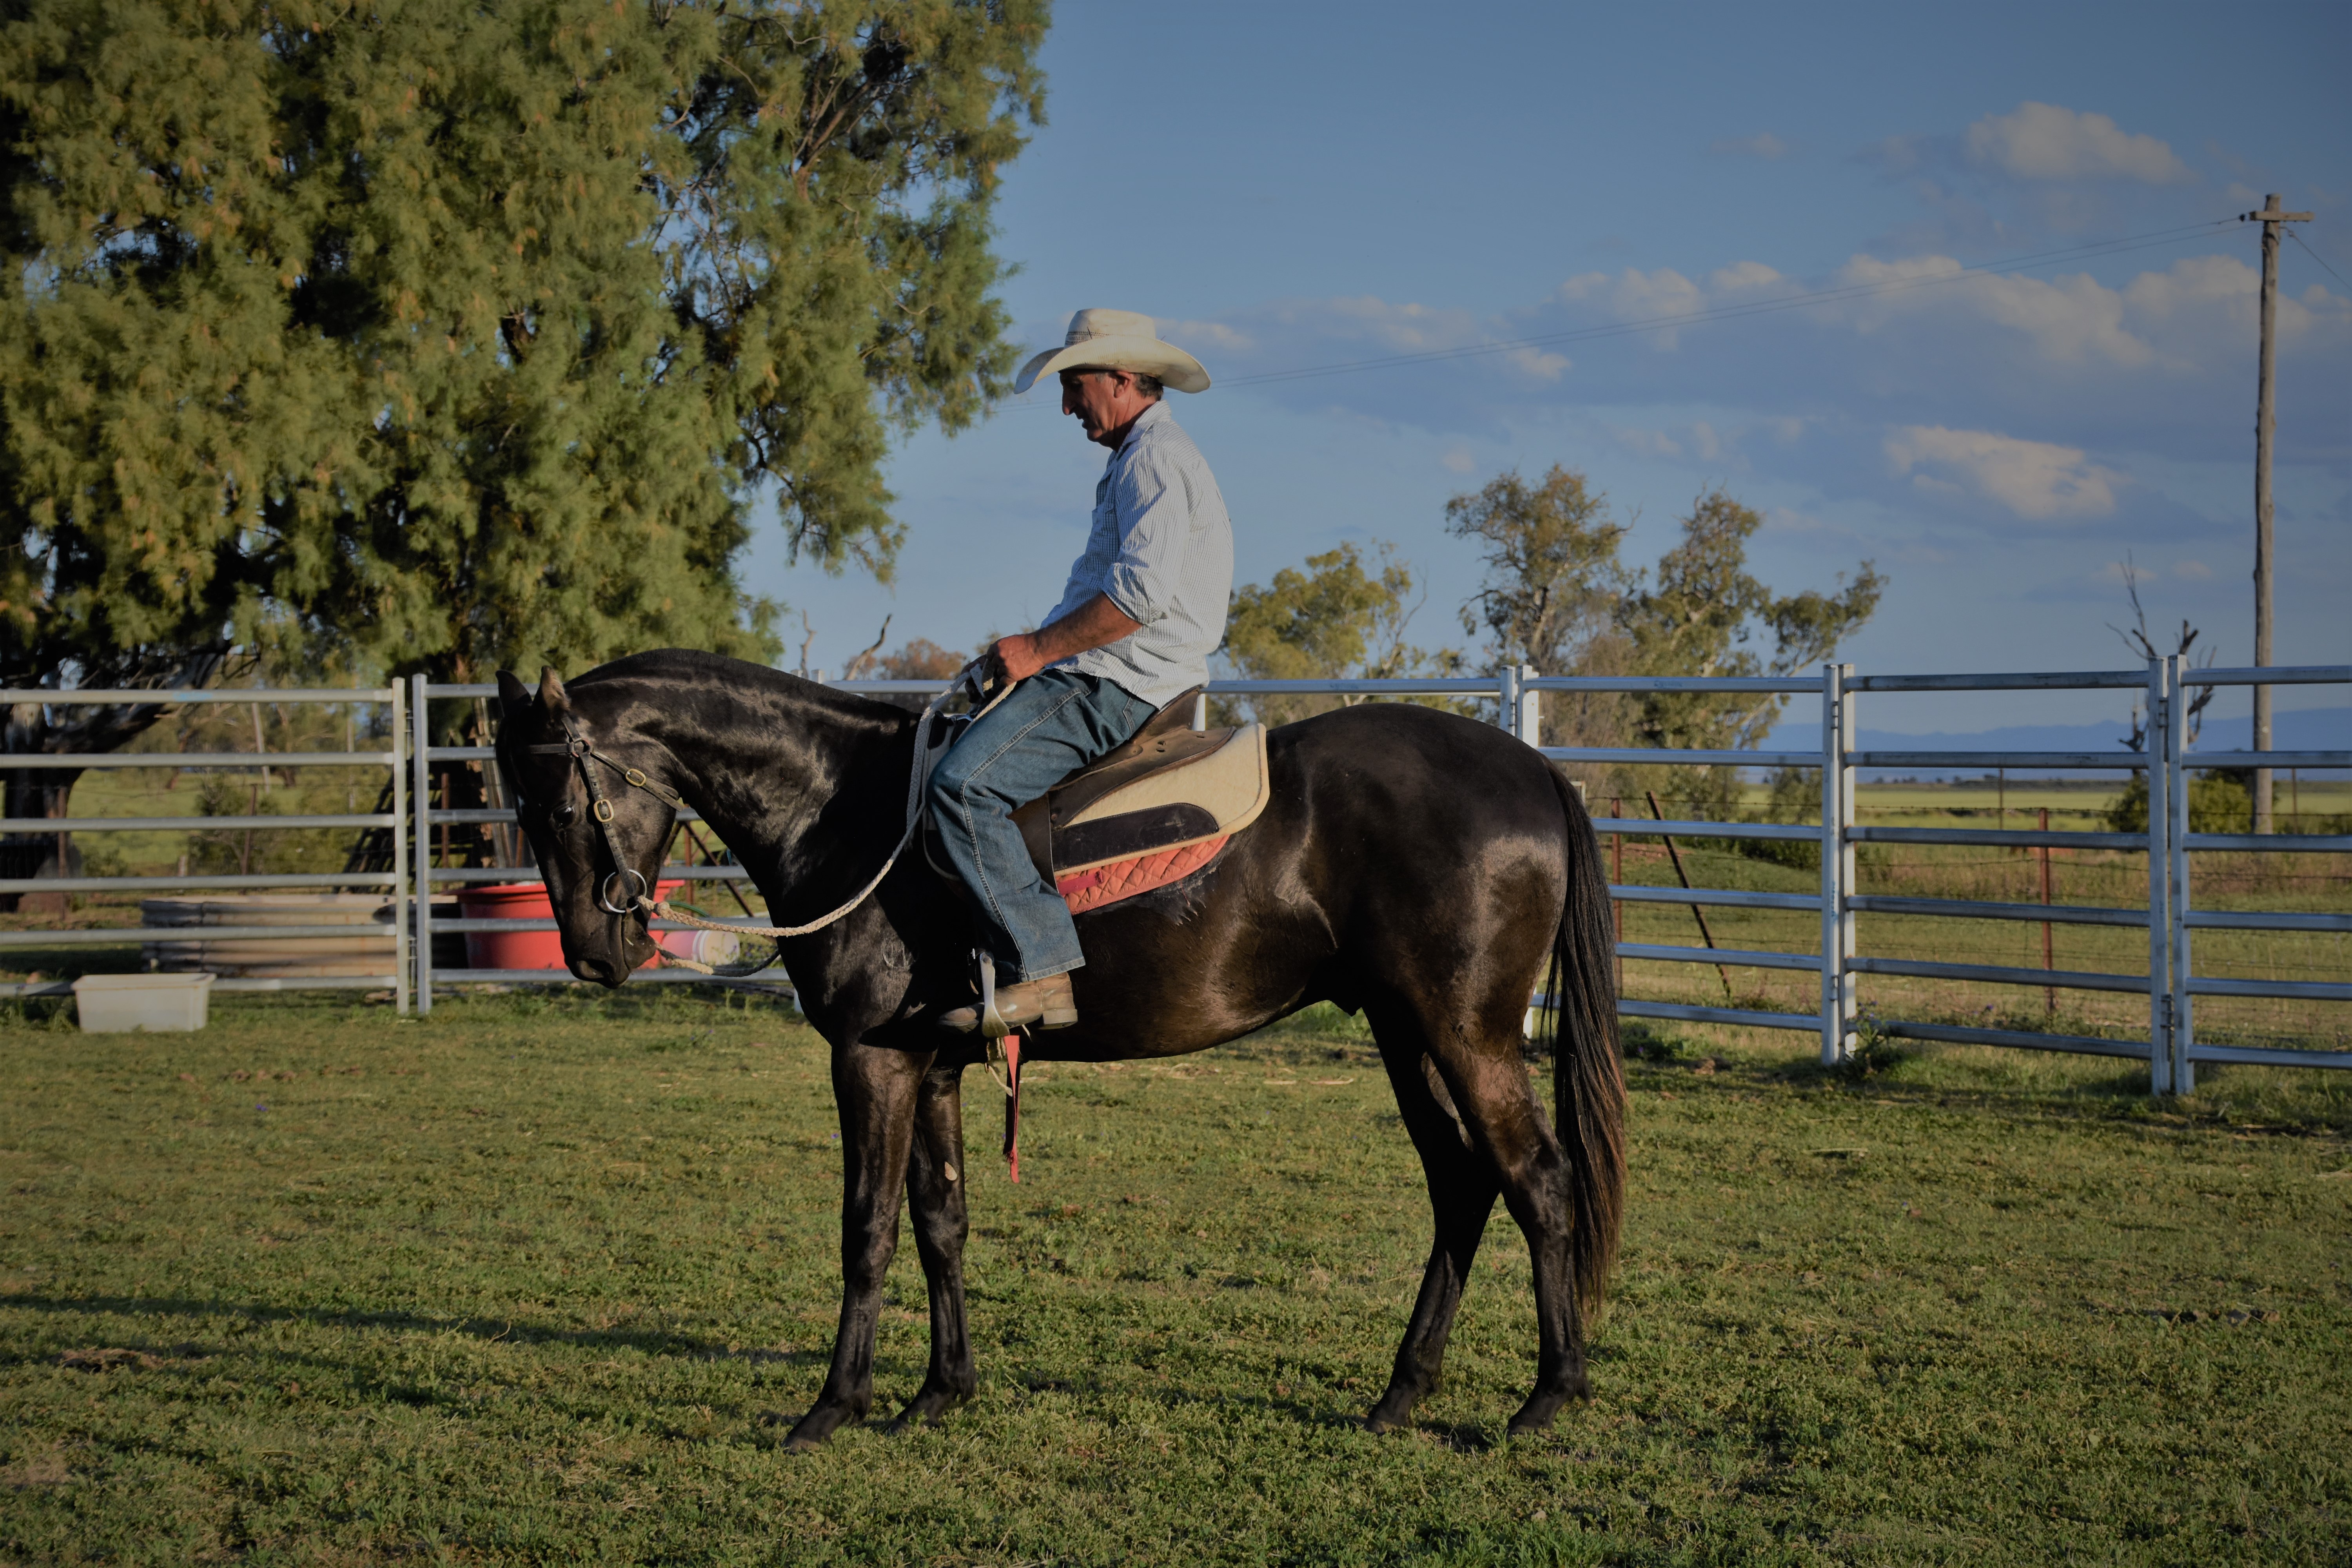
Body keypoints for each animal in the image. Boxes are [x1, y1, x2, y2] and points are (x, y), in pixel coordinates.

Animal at [492, 649, 1625, 1448]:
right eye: (520, 807)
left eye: (562, 803)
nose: (594, 954)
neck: (853, 811)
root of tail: (1533, 766)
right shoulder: (932, 1066)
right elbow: (941, 1222)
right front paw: (938, 1394)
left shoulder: (870, 1060)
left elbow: (868, 1230)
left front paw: (833, 1407)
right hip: (1405, 1030)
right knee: (1461, 1185)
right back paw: (1402, 1392)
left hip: (1465, 1033)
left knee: (1538, 1180)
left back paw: (1548, 1397)